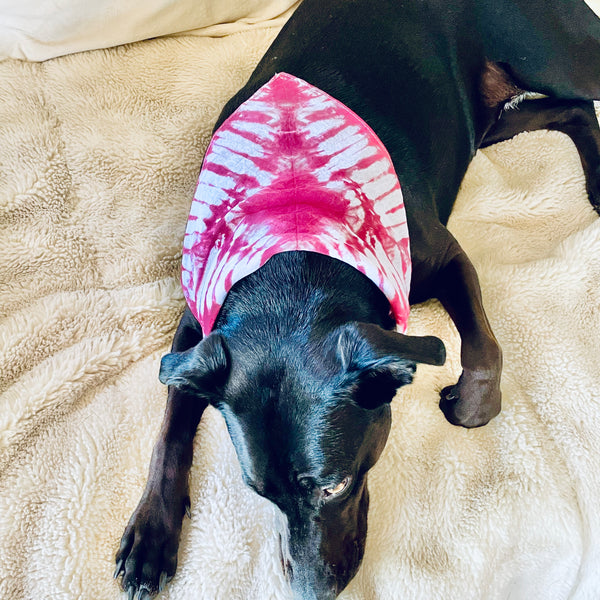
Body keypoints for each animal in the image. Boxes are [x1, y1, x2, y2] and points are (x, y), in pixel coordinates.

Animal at [116, 0, 600, 596]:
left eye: (334, 486)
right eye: (260, 493)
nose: (310, 592)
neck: (295, 243)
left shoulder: (447, 258)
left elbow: (484, 346)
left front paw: (470, 402)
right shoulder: (198, 328)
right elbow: (171, 426)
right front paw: (150, 535)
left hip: (556, 59)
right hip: (490, 122)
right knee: (572, 111)